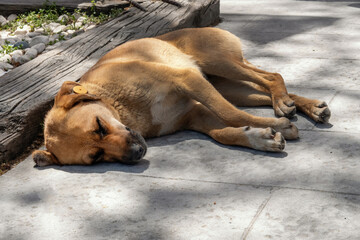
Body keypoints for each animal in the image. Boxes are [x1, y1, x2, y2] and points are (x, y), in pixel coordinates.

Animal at [32, 27, 330, 167]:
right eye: (95, 156)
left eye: (99, 127)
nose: (137, 153)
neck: (123, 107)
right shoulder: (194, 114)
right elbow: (223, 132)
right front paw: (261, 137)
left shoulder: (187, 80)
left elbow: (230, 114)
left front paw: (279, 127)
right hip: (230, 87)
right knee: (265, 89)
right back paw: (306, 106)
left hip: (217, 63)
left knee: (272, 76)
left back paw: (284, 105)